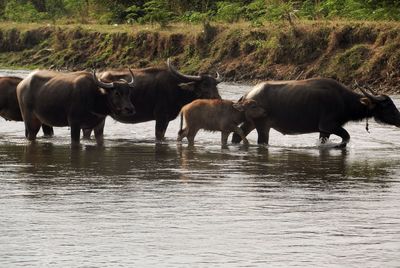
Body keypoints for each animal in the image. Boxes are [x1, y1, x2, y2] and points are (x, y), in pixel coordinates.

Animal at [230, 77, 400, 148]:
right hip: (262, 125)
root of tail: (247, 95)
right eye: (388, 106)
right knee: (261, 141)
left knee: (237, 135)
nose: (399, 119)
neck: (344, 101)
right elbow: (346, 138)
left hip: (251, 122)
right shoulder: (328, 125)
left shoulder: (324, 131)